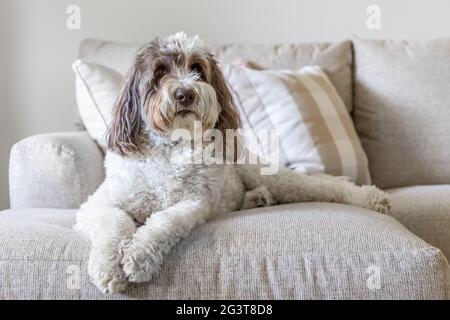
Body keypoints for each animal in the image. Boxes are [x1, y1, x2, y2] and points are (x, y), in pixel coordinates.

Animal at [74, 31, 390, 292]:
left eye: (197, 70)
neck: (173, 147)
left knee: (321, 187)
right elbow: (113, 225)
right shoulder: (98, 204)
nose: (184, 93)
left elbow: (163, 222)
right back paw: (258, 199)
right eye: (160, 72)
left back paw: (370, 197)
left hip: (263, 173)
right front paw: (108, 268)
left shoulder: (194, 203)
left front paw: (138, 257)